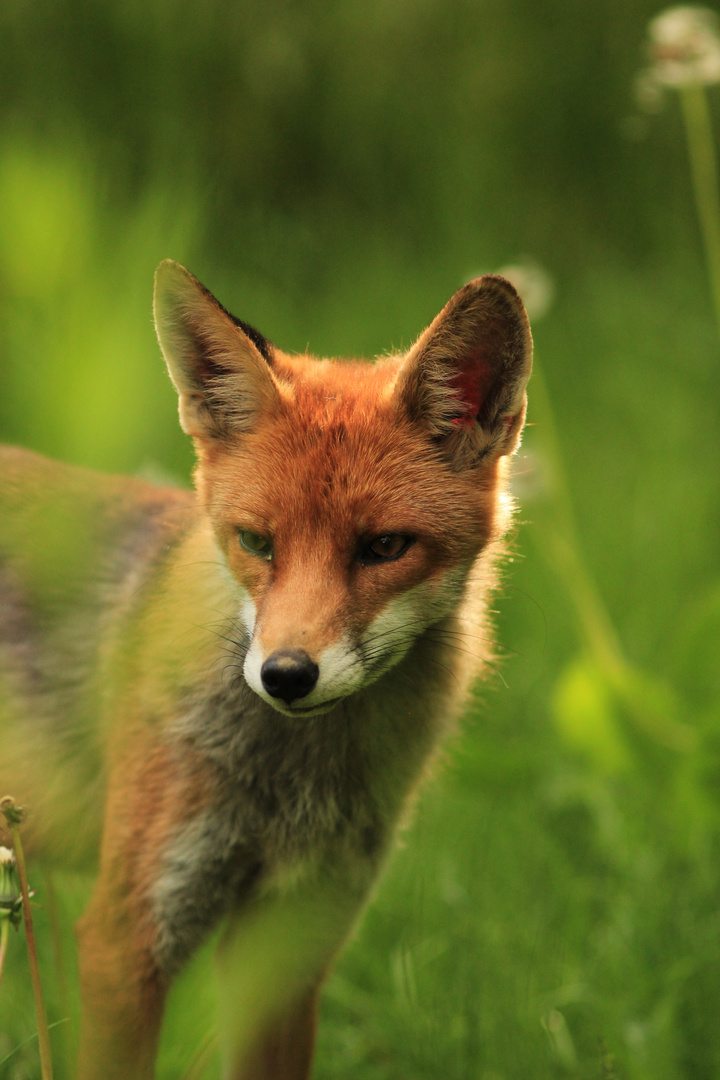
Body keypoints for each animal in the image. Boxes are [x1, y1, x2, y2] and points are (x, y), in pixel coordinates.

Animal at [0, 263, 528, 1080]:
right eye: (255, 542)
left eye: (384, 547)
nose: (285, 675)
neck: (295, 786)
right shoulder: (129, 933)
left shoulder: (291, 939)